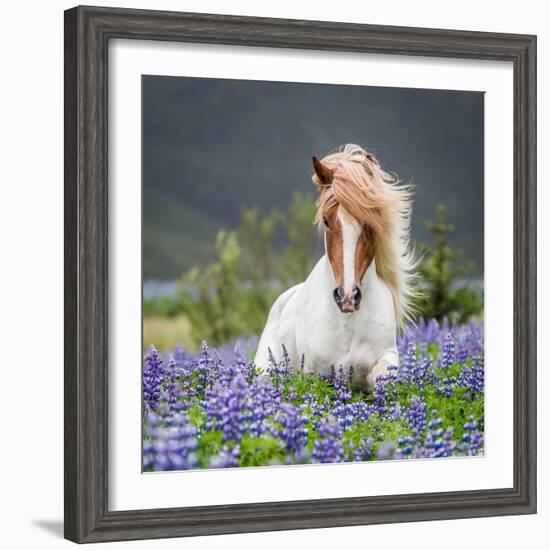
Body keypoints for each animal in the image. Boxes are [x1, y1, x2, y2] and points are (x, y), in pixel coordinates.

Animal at [254, 144, 418, 390]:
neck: (347, 324)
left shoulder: (385, 357)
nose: (347, 296)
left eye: (370, 224)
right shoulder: (316, 374)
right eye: (326, 220)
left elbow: (383, 379)